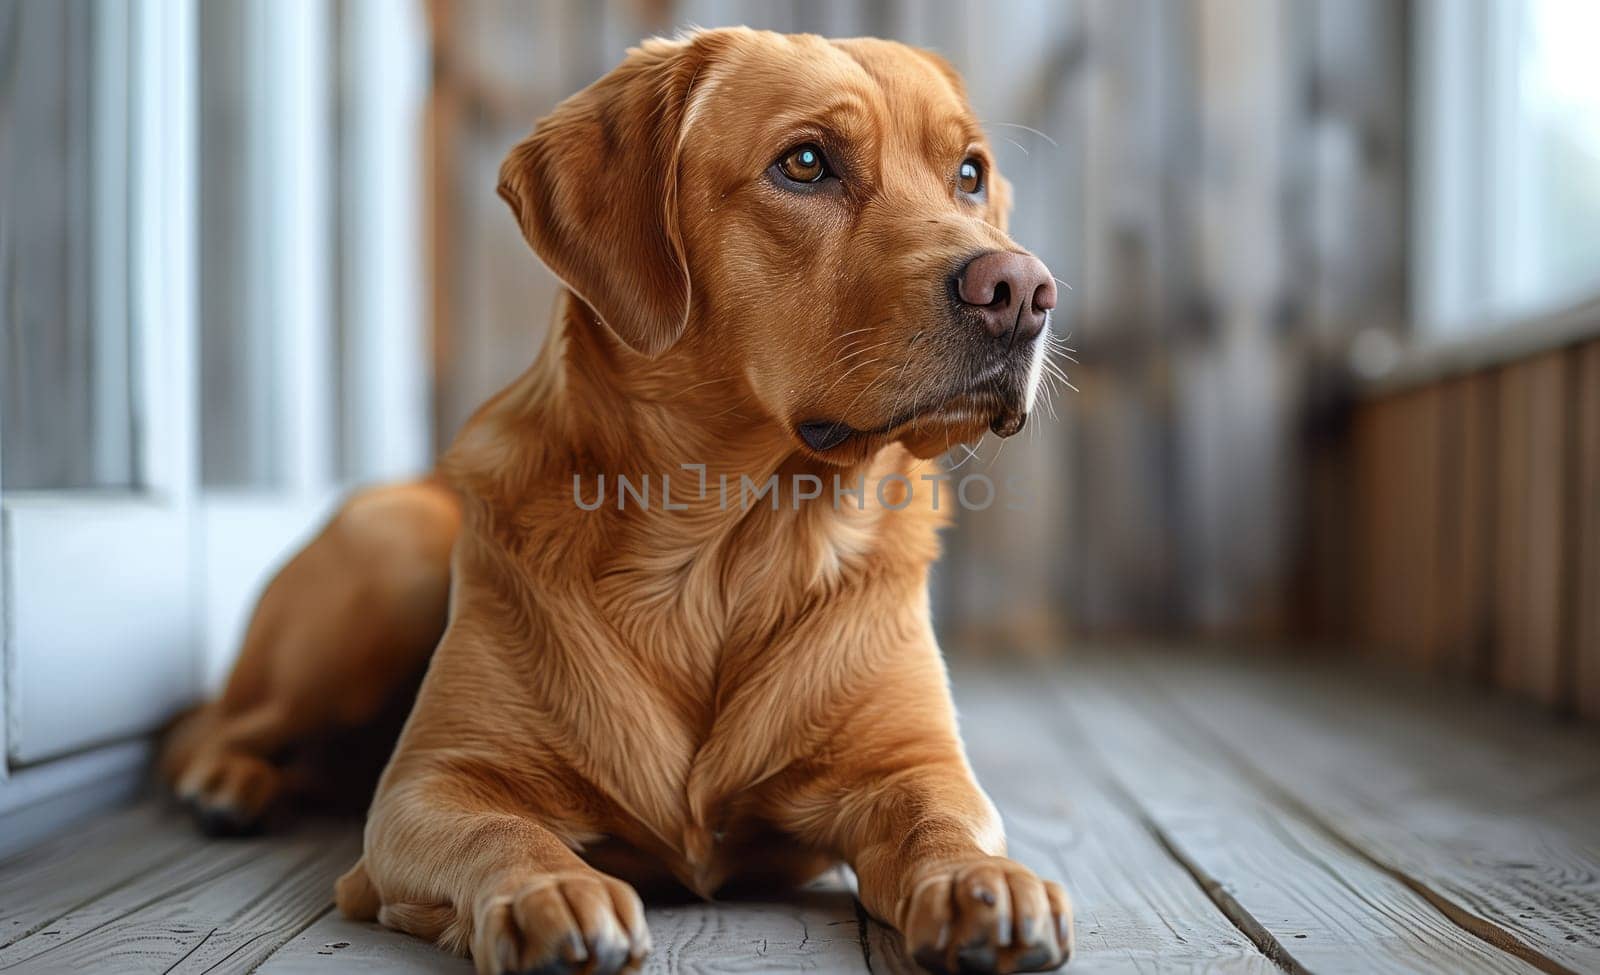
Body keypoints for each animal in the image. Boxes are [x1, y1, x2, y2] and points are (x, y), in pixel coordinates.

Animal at [159, 26, 1075, 966]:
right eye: (806, 162)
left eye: (968, 173)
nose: (1021, 291)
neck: (722, 551)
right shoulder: (431, 784)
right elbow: (504, 831)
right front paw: (554, 892)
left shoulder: (914, 763)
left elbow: (939, 819)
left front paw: (981, 880)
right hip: (389, 556)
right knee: (202, 725)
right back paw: (226, 782)